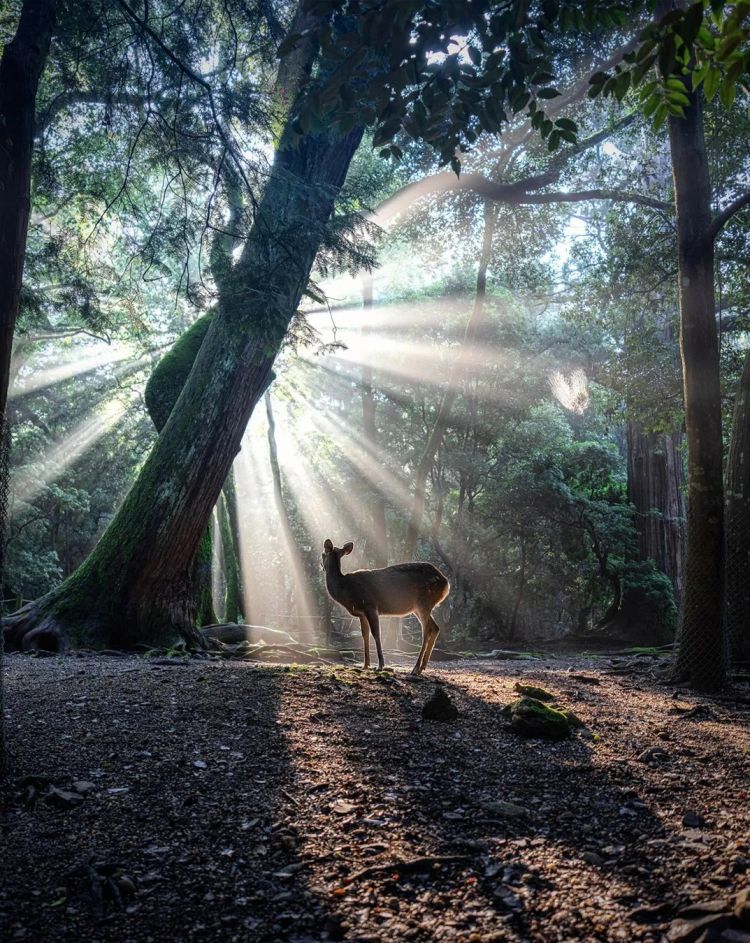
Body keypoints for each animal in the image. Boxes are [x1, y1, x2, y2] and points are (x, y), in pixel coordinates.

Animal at [324, 540, 452, 680]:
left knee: (427, 631)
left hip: (424, 602)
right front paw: (365, 665)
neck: (346, 590)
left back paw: (415, 668)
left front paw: (380, 665)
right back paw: (423, 666)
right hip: (419, 607)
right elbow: (365, 634)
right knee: (435, 628)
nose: (322, 566)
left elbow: (376, 633)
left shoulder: (370, 606)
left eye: (323, 554)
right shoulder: (362, 613)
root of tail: (446, 584)